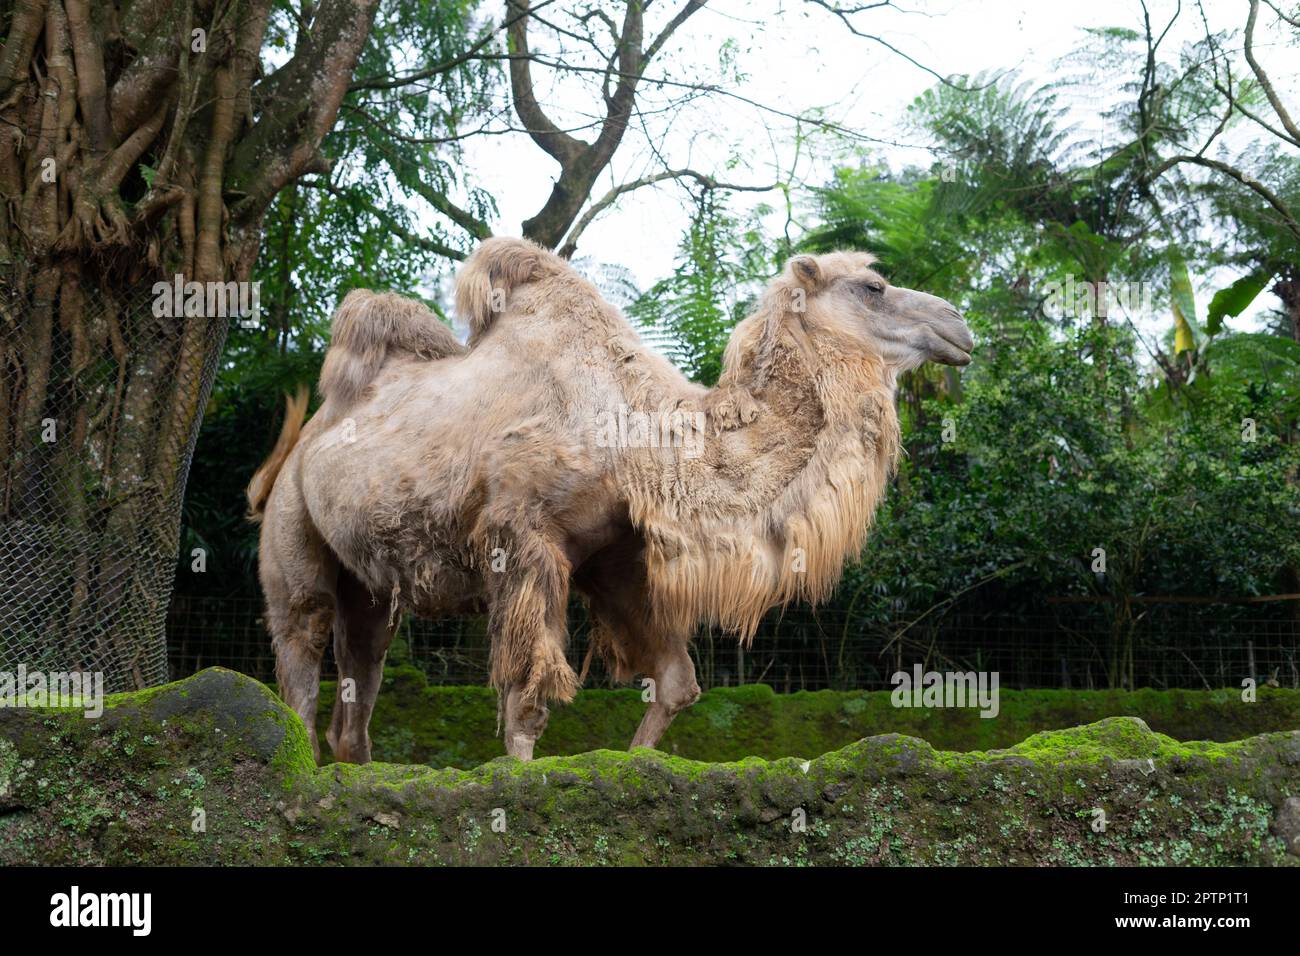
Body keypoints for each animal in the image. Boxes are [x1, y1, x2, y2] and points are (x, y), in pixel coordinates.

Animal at [248, 238, 972, 764]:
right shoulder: (521, 536)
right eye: (872, 287)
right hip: (291, 540)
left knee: (360, 672)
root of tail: (307, 438)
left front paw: (636, 763)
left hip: (370, 586)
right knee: (301, 656)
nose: (959, 324)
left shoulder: (615, 557)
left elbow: (677, 682)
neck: (641, 436)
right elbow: (528, 692)